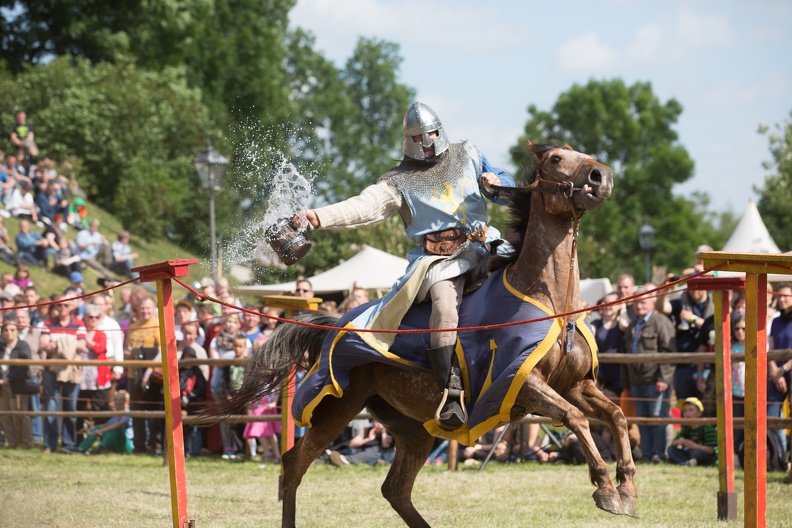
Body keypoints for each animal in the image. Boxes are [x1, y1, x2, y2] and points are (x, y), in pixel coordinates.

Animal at [215, 142, 636, 524]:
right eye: (556, 158)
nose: (600, 176)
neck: (547, 298)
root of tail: (334, 325)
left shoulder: (576, 385)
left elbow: (616, 415)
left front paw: (627, 487)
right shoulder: (523, 383)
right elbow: (576, 419)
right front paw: (605, 487)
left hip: (413, 427)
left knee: (395, 489)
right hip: (337, 406)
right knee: (293, 466)